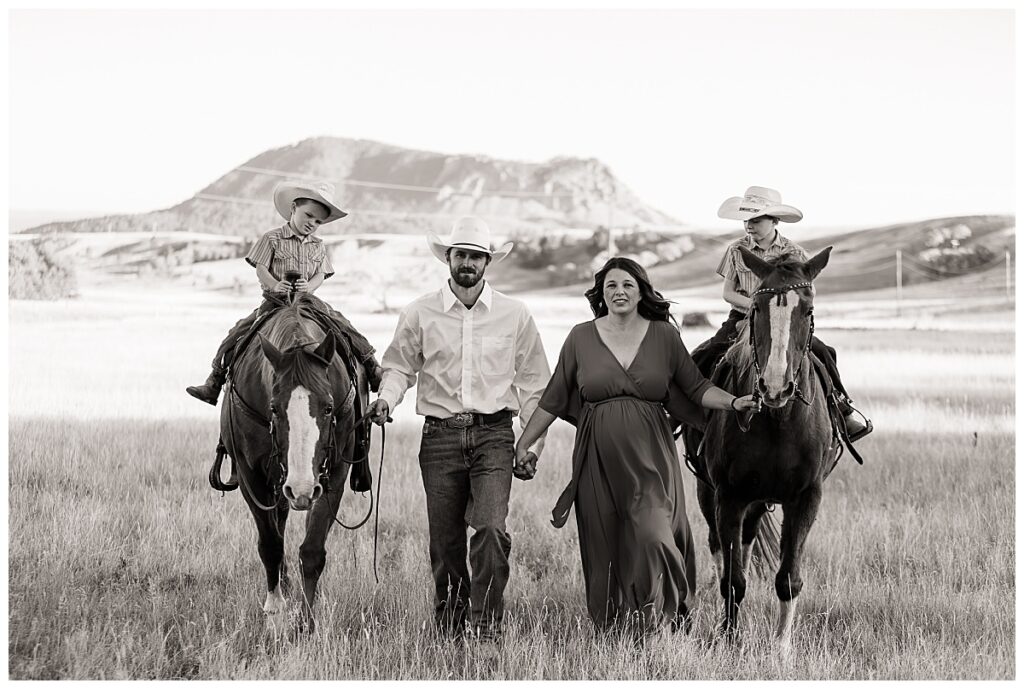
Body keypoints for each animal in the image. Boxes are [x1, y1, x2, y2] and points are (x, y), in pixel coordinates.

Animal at [218, 292, 370, 630]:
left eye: (328, 407)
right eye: (274, 408)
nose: (300, 489)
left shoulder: (332, 476)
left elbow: (312, 548)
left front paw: (307, 621)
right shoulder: (251, 477)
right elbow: (270, 544)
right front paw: (275, 609)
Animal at [688, 247, 839, 651]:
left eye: (808, 310)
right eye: (756, 308)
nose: (774, 387)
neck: (777, 421)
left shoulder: (807, 497)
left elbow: (789, 578)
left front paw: (782, 648)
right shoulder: (729, 495)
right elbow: (732, 578)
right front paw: (729, 638)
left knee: (746, 541)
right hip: (710, 491)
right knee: (721, 548)